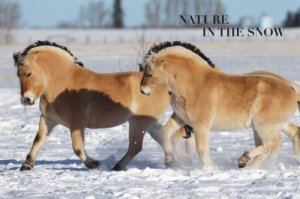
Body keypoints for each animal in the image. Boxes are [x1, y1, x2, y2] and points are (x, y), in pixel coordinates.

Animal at [12, 40, 171, 171]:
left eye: (28, 74)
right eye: (18, 75)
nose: (26, 99)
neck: (62, 82)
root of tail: (163, 86)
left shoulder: (76, 124)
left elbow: (77, 148)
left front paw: (94, 164)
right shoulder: (48, 119)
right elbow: (38, 139)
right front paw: (27, 165)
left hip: (138, 123)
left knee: (136, 146)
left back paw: (117, 167)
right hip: (149, 123)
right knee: (163, 138)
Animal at [140, 41, 300, 169]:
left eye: (150, 74)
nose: (142, 90)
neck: (193, 84)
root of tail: (290, 88)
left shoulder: (200, 125)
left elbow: (201, 149)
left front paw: (210, 168)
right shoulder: (181, 119)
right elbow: (166, 133)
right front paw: (170, 161)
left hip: (263, 126)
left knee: (273, 143)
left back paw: (245, 160)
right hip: (268, 127)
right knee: (279, 141)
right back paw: (250, 165)